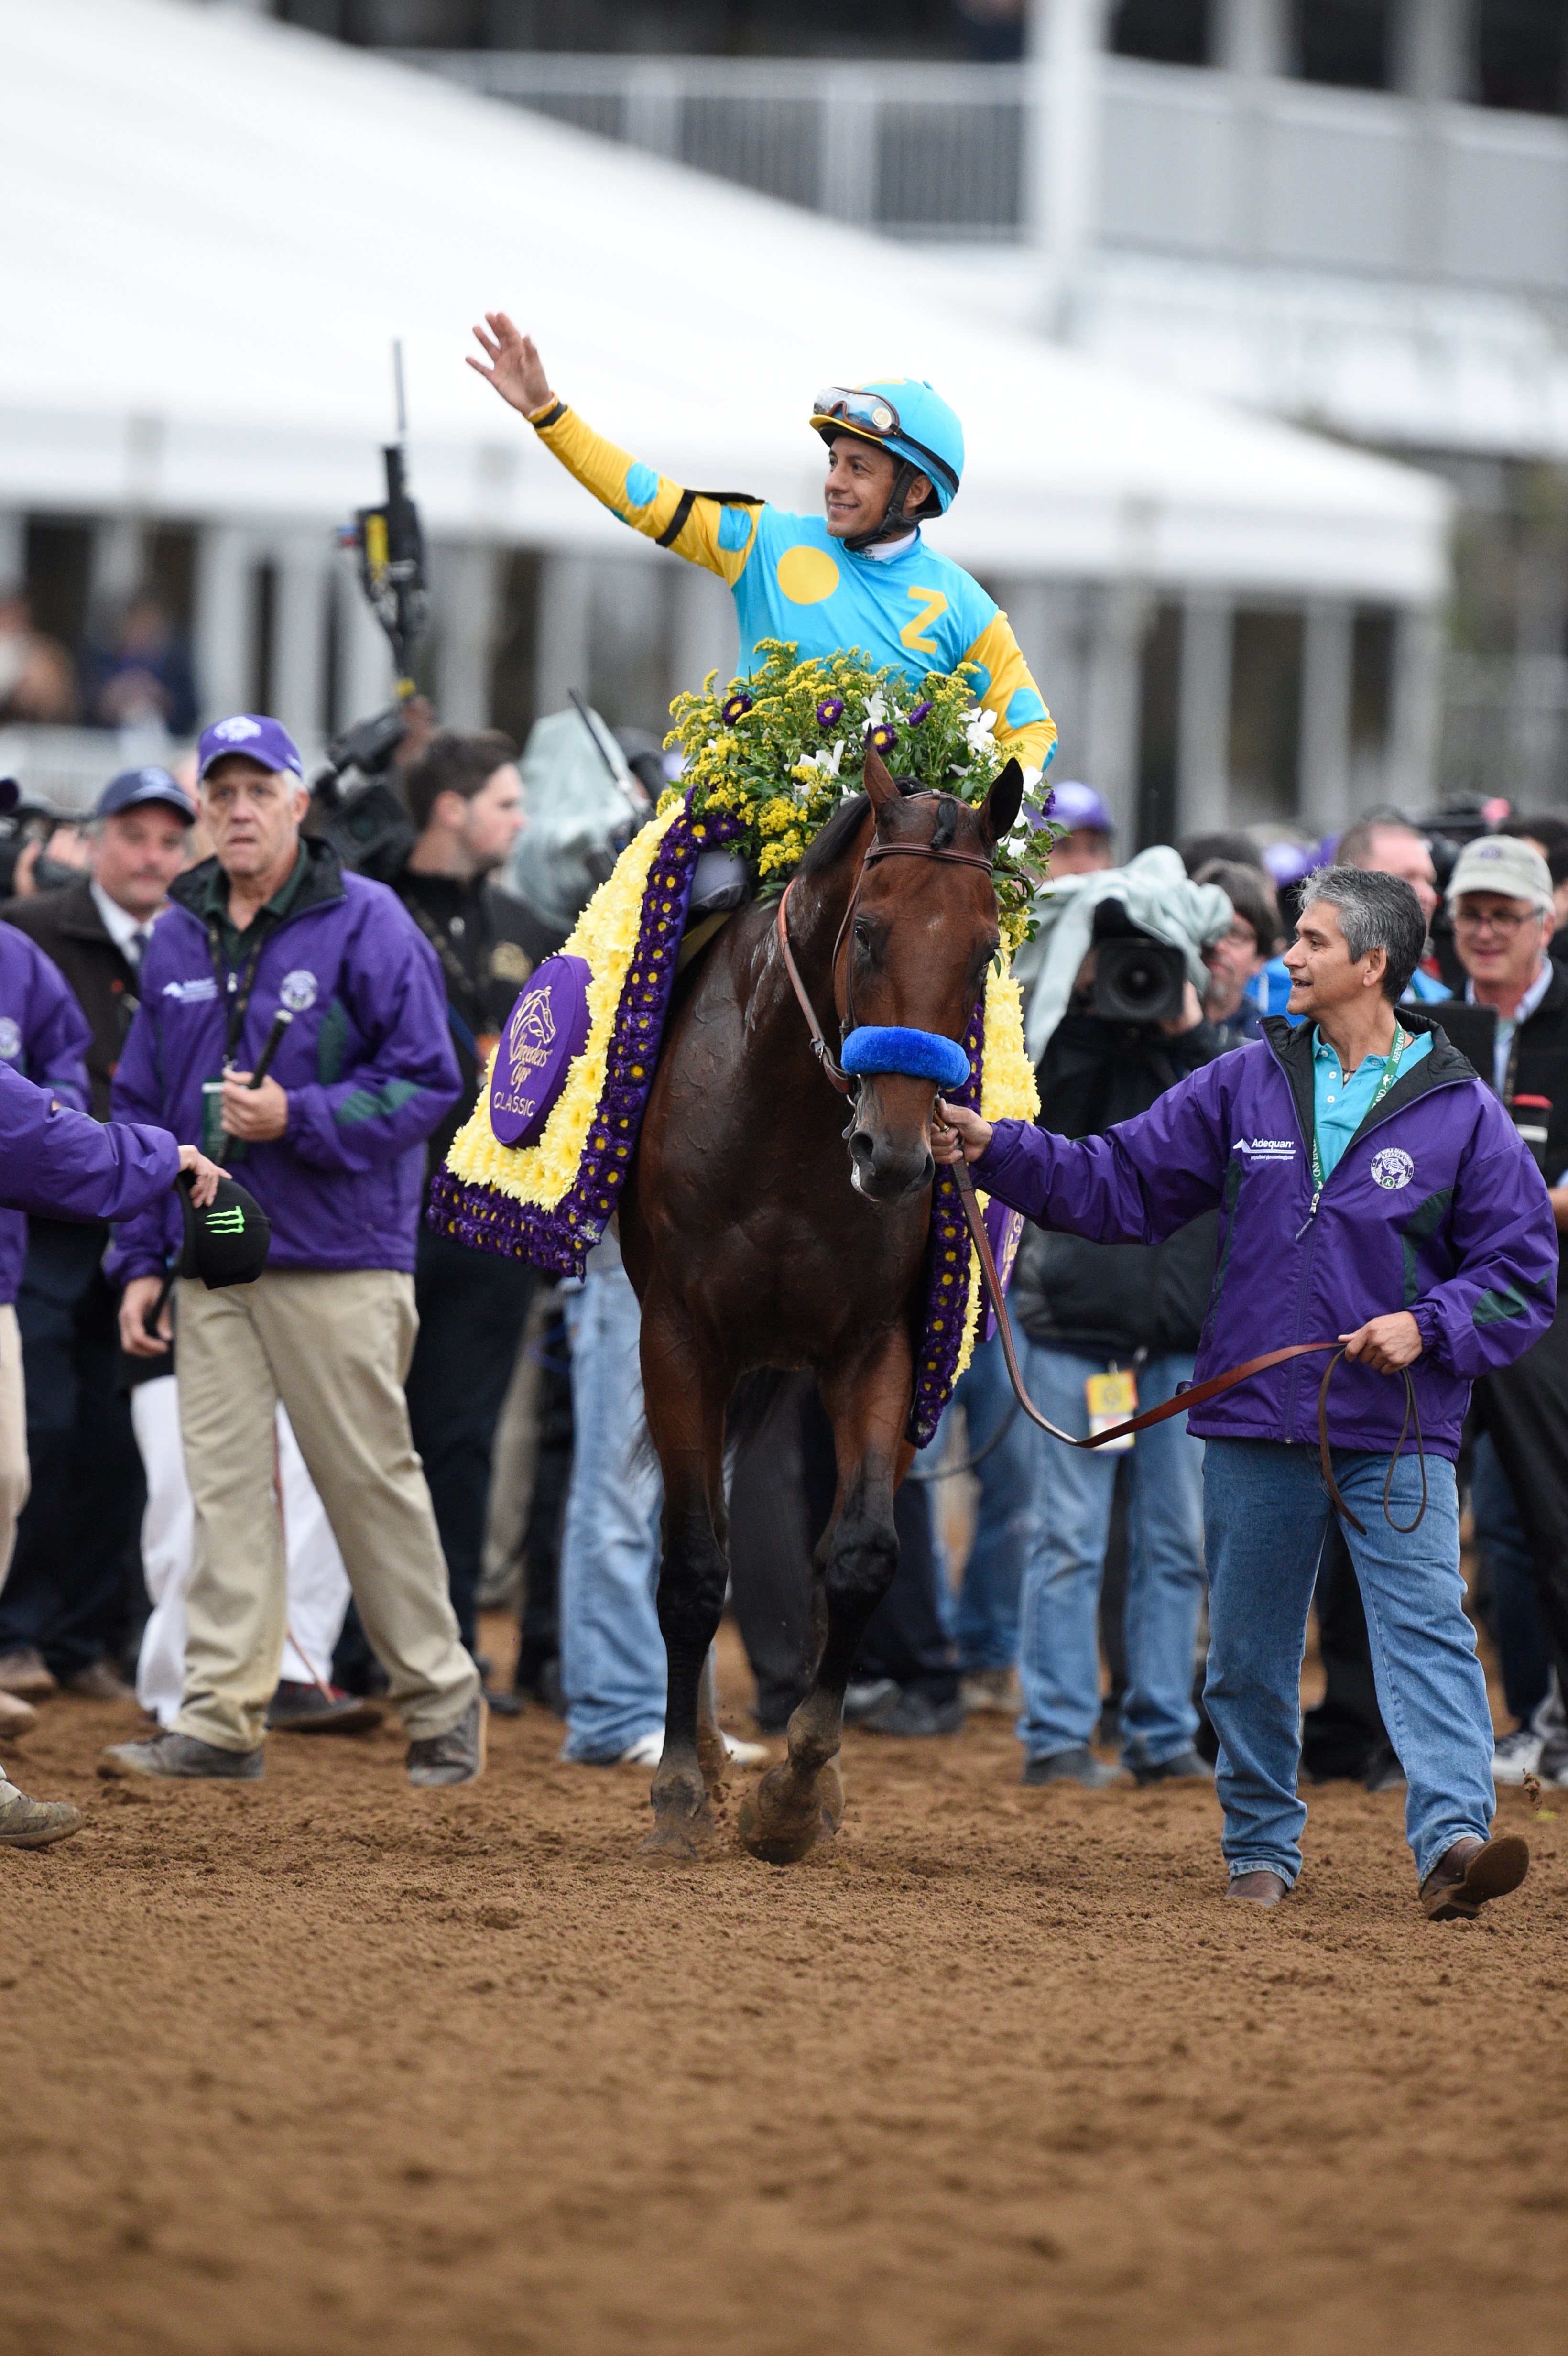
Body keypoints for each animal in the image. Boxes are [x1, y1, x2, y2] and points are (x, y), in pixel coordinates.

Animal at [617, 749, 1022, 1856]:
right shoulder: (679, 1336)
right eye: (869, 930)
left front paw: (798, 1790)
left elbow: (862, 1554)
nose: (896, 1153)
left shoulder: (873, 1346)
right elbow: (691, 1562)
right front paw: (679, 1790)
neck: (788, 1136)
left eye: (983, 950)